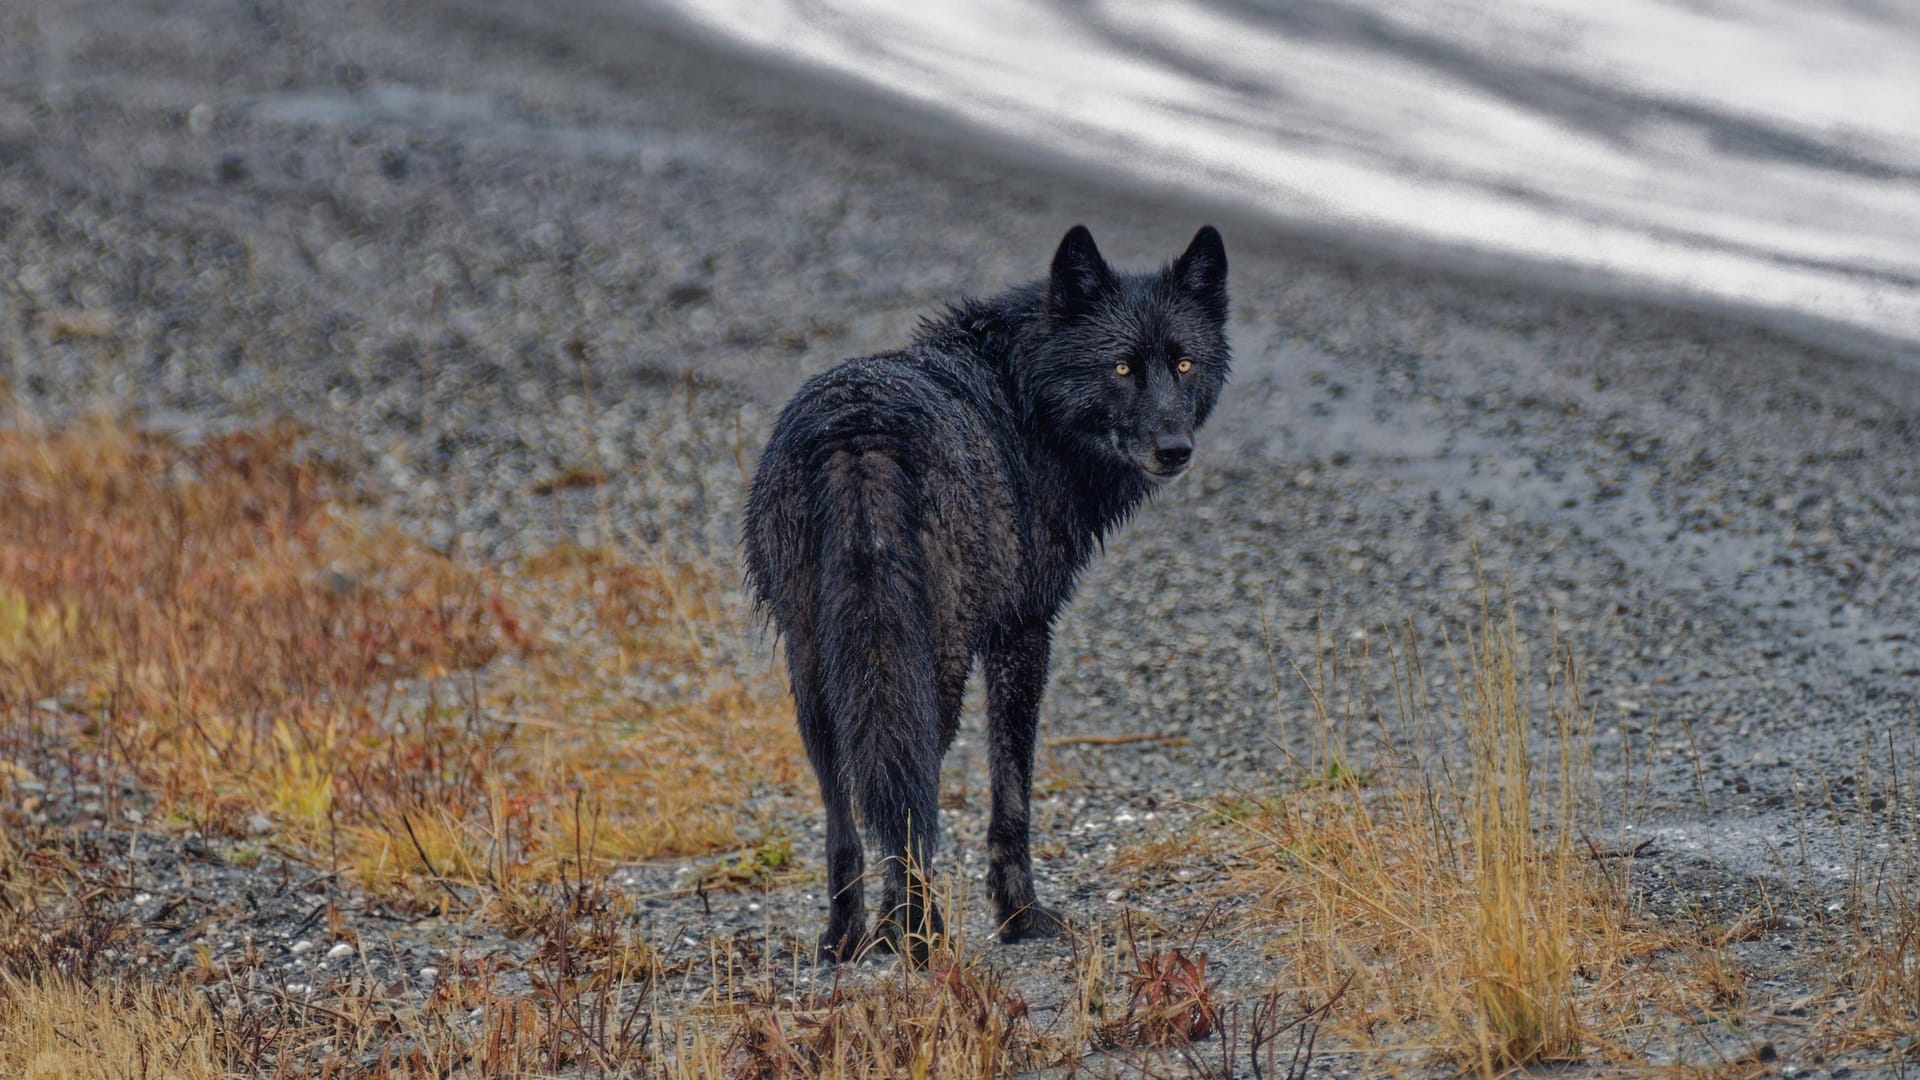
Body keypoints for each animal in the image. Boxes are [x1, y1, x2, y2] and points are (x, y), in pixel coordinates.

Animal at [741, 222, 1221, 953]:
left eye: (1185, 364)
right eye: (1121, 368)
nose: (1175, 449)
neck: (1023, 398)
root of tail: (859, 432)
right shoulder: (1022, 633)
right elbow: (1012, 793)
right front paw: (1020, 915)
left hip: (817, 669)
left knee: (847, 811)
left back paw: (851, 938)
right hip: (931, 670)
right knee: (910, 800)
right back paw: (920, 936)